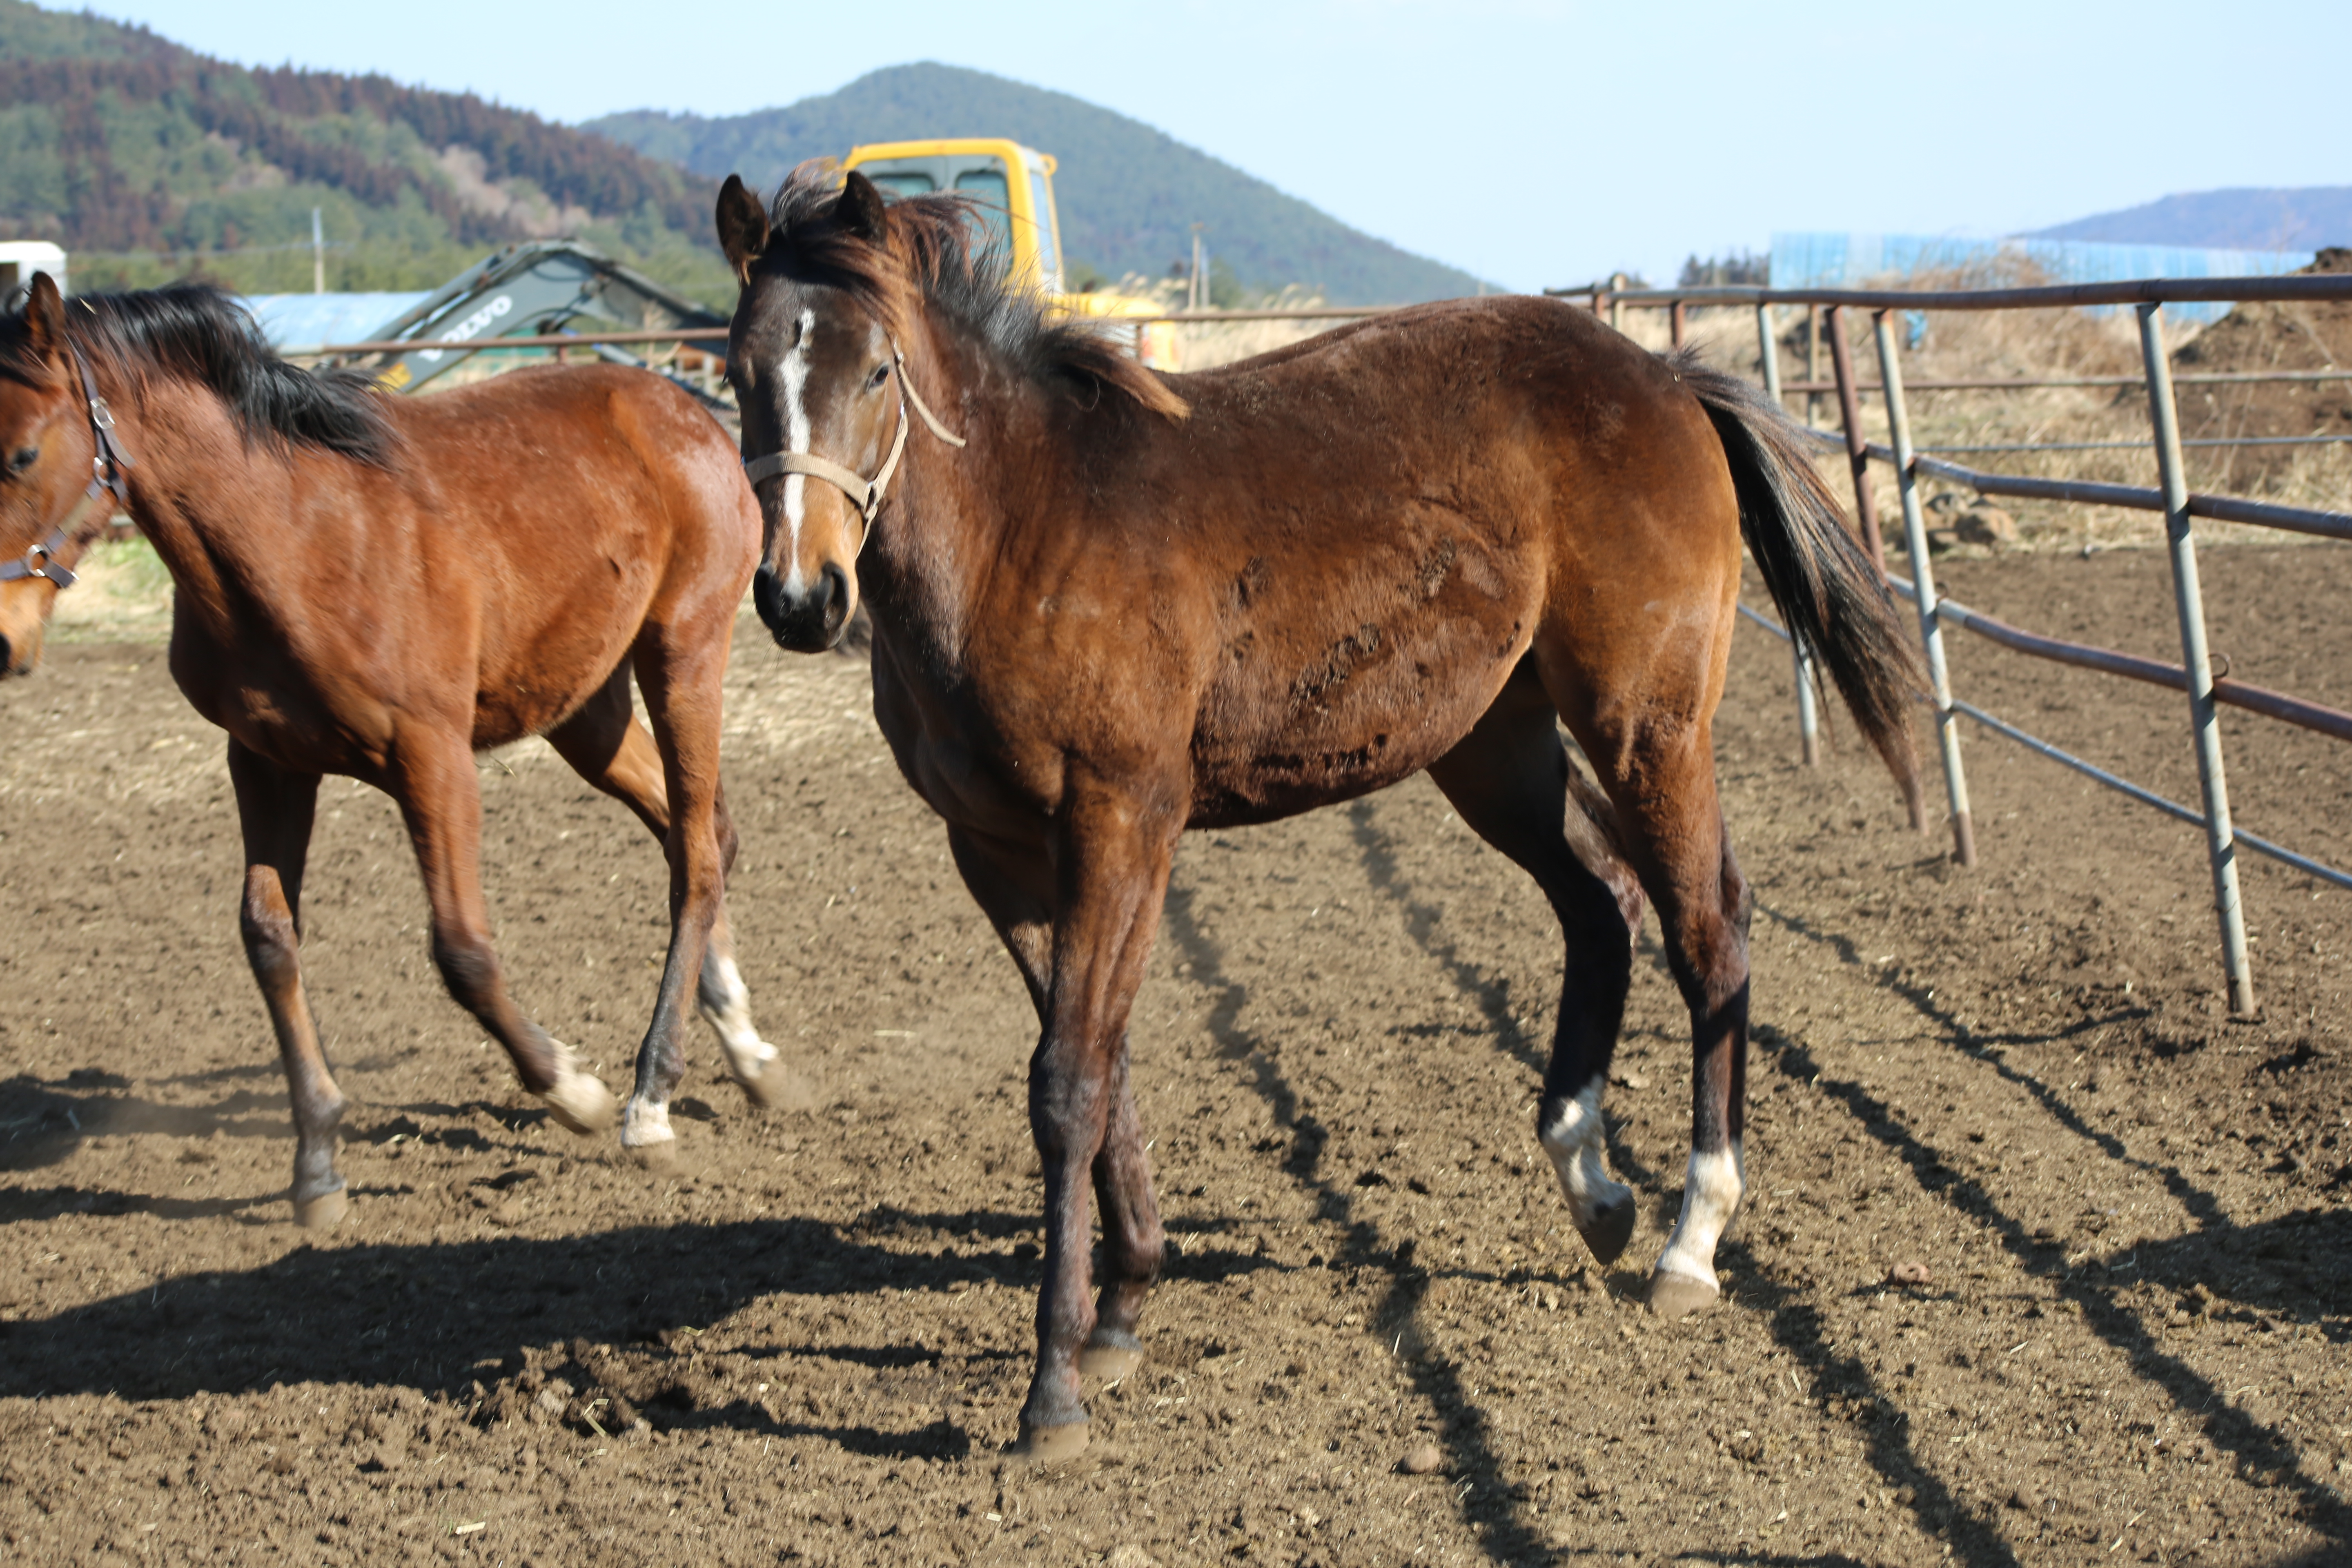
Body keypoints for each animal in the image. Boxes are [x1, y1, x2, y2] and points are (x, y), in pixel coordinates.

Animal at [0, 276, 800, 1222]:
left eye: (20, 453)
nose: (2, 642)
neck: (296, 540)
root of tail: (683, 406)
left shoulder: (432, 757)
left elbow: (462, 950)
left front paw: (574, 1091)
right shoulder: (265, 763)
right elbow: (268, 939)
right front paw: (316, 1164)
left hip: (684, 655)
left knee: (696, 861)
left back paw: (650, 1101)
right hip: (585, 711)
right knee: (700, 834)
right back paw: (749, 1054)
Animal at [719, 169, 1929, 1457]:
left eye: (877, 371)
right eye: (737, 372)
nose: (799, 596)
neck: (1022, 529)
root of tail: (1663, 378)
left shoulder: (1123, 820)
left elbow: (1069, 1085)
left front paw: (1052, 1389)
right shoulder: (997, 852)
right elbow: (1101, 1065)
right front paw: (1121, 1311)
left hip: (1643, 728)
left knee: (1710, 931)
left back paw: (1690, 1239)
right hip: (1495, 749)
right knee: (1602, 906)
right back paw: (1592, 1182)